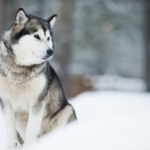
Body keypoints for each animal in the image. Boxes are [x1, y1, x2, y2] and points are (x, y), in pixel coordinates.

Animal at [0, 7, 76, 148]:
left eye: (48, 38)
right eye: (36, 36)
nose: (50, 51)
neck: (21, 68)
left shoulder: (37, 102)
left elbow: (31, 130)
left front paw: (29, 147)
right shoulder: (6, 103)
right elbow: (10, 130)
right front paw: (10, 147)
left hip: (67, 110)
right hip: (20, 120)